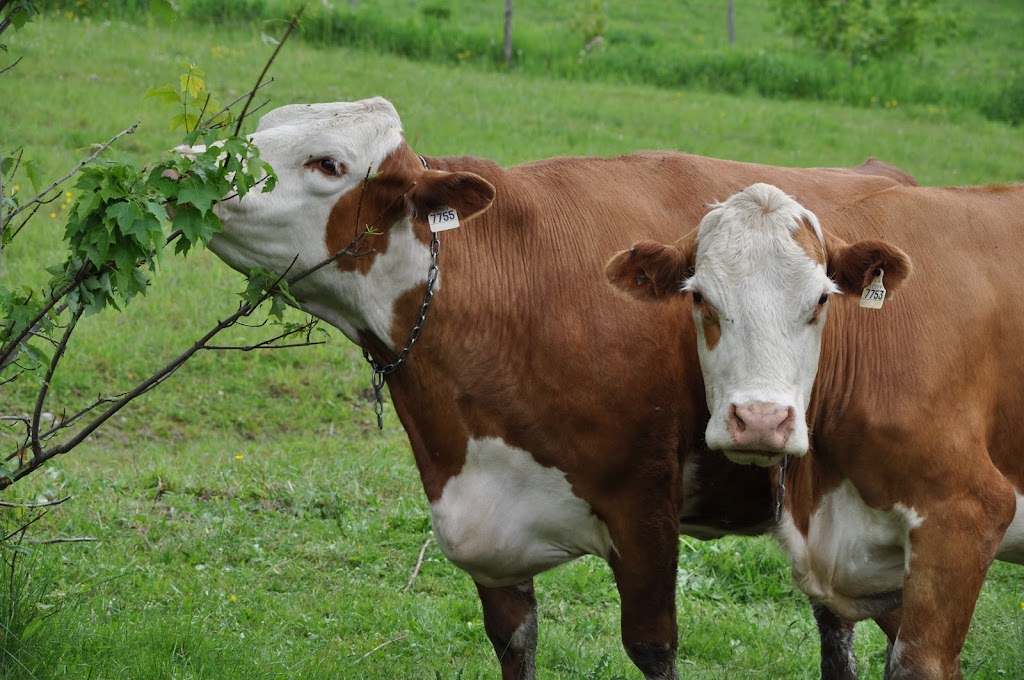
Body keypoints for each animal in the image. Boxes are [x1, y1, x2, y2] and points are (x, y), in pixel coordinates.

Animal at [192, 96, 921, 680]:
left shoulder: (645, 510)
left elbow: (654, 647)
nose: (180, 166)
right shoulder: (490, 529)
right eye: (265, 129)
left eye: (327, 164)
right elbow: (514, 640)